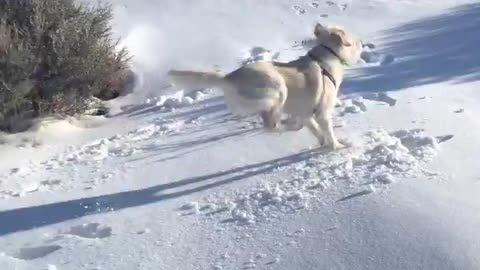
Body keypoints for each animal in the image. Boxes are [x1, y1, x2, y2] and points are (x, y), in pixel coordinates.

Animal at [168, 23, 360, 150]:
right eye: (353, 41)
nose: (361, 42)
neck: (326, 57)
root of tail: (230, 77)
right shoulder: (322, 112)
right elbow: (329, 132)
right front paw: (337, 146)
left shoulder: (306, 112)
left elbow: (315, 129)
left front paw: (322, 141)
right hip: (277, 89)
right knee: (270, 125)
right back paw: (289, 126)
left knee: (271, 123)